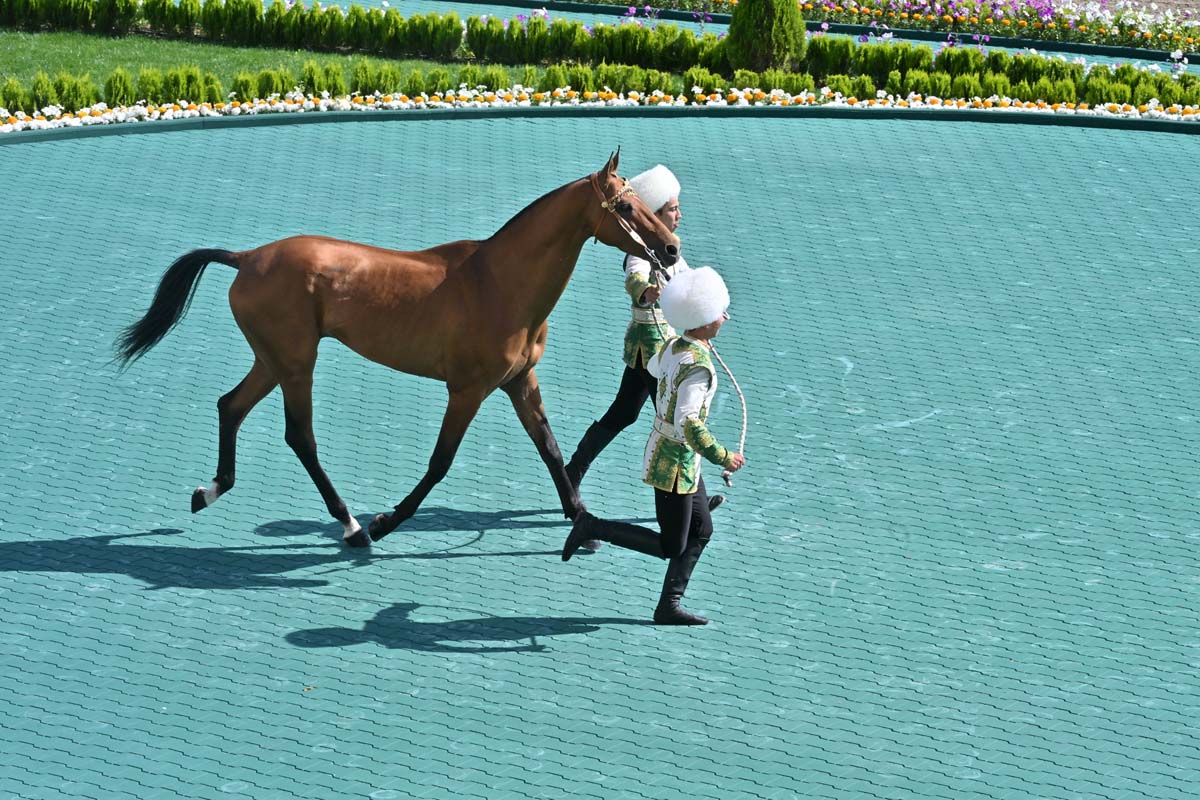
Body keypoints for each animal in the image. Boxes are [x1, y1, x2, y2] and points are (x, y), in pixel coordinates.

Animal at [115, 151, 680, 548]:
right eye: (625, 206)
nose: (671, 249)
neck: (498, 283)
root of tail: (247, 257)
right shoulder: (468, 390)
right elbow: (440, 462)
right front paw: (387, 521)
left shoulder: (520, 381)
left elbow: (551, 449)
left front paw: (583, 525)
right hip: (296, 362)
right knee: (300, 436)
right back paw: (351, 525)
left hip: (273, 359)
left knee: (230, 406)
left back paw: (209, 491)